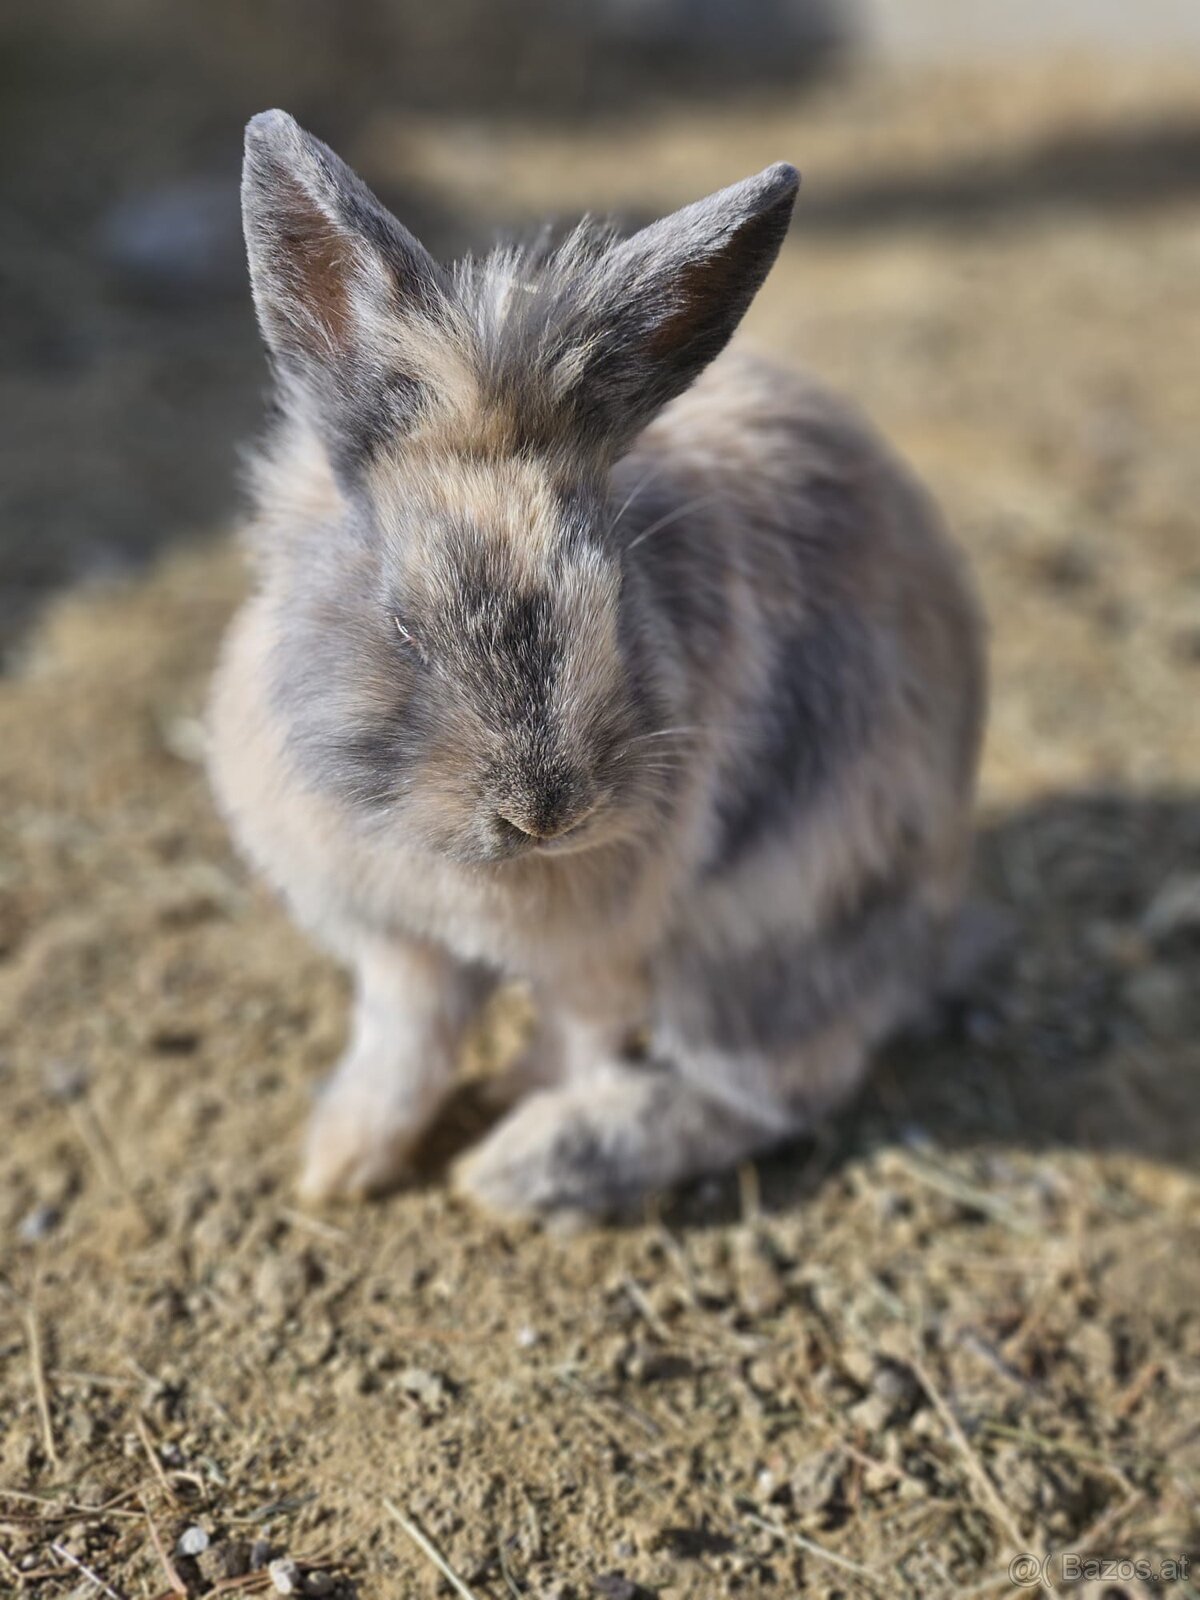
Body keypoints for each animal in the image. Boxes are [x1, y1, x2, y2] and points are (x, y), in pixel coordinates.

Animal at [207, 109, 986, 1218]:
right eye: (401, 625)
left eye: (614, 595)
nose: (547, 812)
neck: (456, 863)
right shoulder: (399, 947)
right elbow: (402, 1050)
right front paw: (339, 1167)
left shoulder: (604, 952)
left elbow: (582, 1036)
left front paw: (495, 1137)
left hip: (759, 941)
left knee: (775, 1085)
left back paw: (535, 1165)